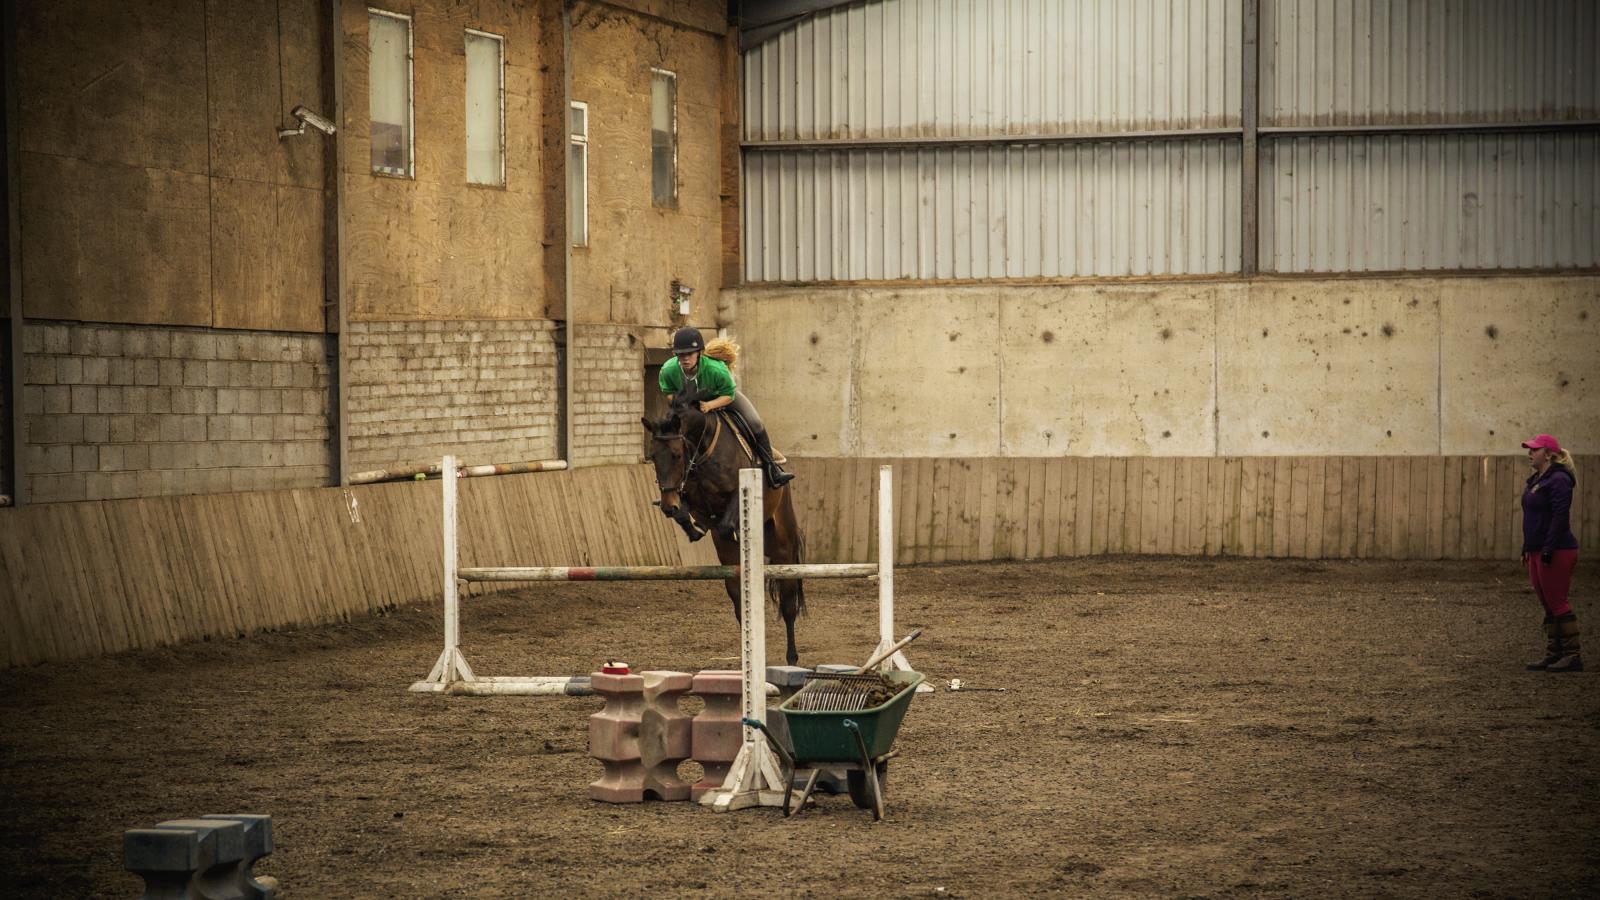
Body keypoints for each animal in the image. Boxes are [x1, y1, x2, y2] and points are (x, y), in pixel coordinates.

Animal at [643, 381, 806, 662]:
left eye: (676, 455)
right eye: (653, 456)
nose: (666, 505)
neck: (701, 452)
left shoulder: (736, 492)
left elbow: (726, 521)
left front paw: (727, 528)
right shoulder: (690, 495)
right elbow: (691, 514)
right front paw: (693, 527)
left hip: (784, 546)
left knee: (787, 605)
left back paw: (792, 658)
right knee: (741, 605)